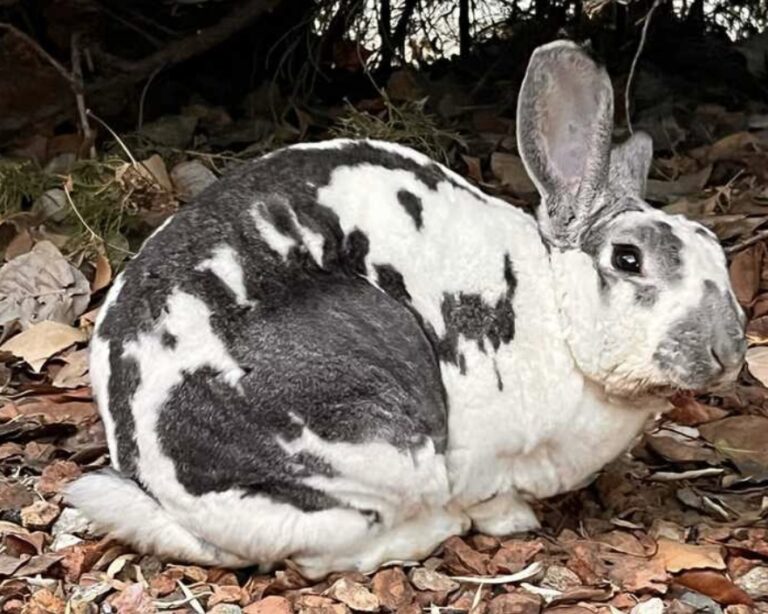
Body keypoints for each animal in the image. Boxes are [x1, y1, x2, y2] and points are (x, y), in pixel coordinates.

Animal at [66, 40, 746, 579]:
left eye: (715, 247)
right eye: (628, 258)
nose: (730, 350)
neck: (554, 310)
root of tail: (168, 497)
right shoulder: (486, 460)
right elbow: (492, 499)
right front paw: (514, 521)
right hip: (377, 448)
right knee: (329, 554)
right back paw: (437, 531)